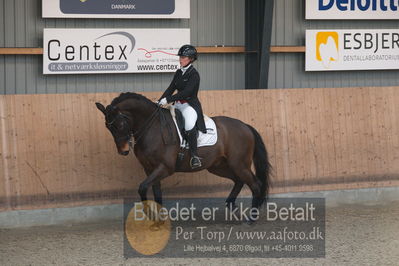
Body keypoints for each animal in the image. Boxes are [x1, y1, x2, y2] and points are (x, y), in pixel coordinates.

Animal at [96, 91, 272, 220]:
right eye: (108, 127)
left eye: (120, 124)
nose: (124, 150)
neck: (152, 127)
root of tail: (245, 126)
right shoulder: (150, 168)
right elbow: (155, 192)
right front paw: (159, 220)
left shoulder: (165, 168)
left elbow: (142, 188)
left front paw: (150, 215)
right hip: (219, 166)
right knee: (238, 180)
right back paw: (231, 206)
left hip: (239, 164)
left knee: (255, 184)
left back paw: (251, 218)